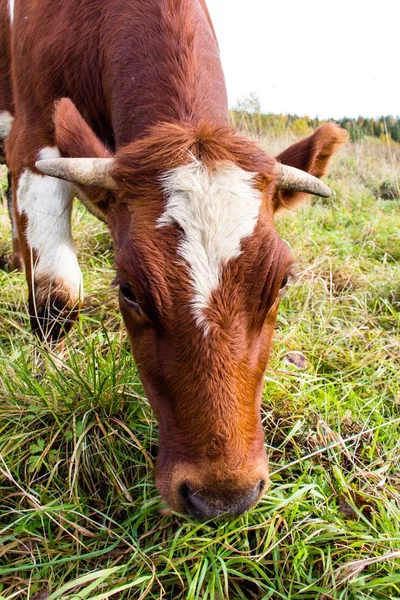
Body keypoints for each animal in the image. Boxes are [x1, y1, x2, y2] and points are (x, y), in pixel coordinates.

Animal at [0, 0, 346, 516]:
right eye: (128, 289)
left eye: (282, 281)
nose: (223, 496)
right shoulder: (30, 138)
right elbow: (56, 299)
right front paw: (48, 380)